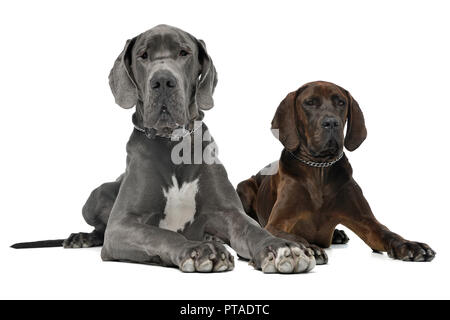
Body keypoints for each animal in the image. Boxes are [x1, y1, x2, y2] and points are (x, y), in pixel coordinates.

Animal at [13, 25, 316, 272]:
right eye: (143, 55)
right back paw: (82, 238)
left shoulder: (230, 212)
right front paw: (198, 250)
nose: (162, 81)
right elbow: (162, 234)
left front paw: (280, 248)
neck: (173, 145)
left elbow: (253, 230)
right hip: (94, 196)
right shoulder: (122, 225)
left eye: (184, 52)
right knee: (99, 227)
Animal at [237, 81, 434, 264]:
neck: (319, 169)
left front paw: (410, 245)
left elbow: (387, 232)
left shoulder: (366, 222)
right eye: (309, 102)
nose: (331, 123)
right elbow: (291, 236)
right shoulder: (276, 224)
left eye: (341, 102)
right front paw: (307, 247)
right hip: (244, 187)